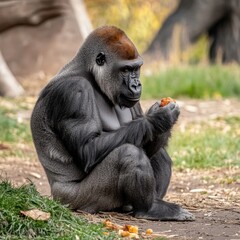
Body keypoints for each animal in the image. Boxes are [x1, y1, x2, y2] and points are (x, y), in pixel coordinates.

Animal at [30, 25, 195, 220]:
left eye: (136, 69)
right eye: (125, 70)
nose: (137, 85)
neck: (89, 72)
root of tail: (56, 197)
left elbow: (147, 141)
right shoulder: (74, 90)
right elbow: (88, 149)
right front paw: (157, 119)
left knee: (158, 153)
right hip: (77, 200)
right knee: (128, 153)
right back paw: (149, 209)